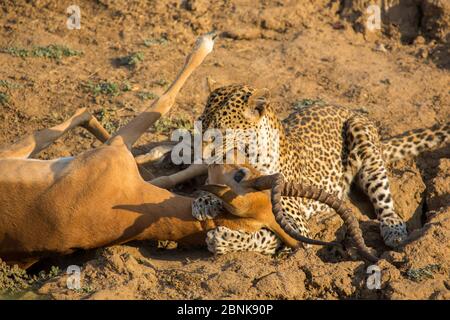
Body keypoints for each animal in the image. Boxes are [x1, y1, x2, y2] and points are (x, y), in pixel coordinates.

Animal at [191, 84, 450, 256]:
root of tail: (346, 110)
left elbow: (267, 236)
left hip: (362, 137)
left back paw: (393, 229)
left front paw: (223, 238)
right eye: (201, 123)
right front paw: (203, 201)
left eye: (221, 131)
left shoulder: (295, 223)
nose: (200, 153)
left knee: (384, 199)